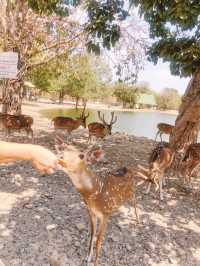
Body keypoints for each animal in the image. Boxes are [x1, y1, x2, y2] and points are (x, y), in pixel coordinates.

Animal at [54, 137, 148, 266]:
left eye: (82, 156)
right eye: (63, 148)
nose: (60, 157)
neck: (94, 193)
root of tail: (129, 169)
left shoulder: (105, 214)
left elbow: (99, 240)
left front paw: (96, 262)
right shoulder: (91, 212)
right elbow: (92, 235)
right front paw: (87, 258)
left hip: (132, 190)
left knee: (135, 201)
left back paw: (138, 221)